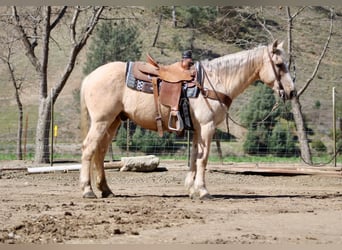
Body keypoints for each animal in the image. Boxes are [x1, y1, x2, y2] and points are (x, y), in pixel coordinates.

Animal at [79, 40, 296, 199]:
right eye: (279, 64)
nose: (292, 91)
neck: (215, 81)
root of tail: (89, 77)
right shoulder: (207, 127)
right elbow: (203, 159)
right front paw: (203, 191)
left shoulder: (198, 129)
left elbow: (194, 157)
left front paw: (192, 190)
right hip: (101, 121)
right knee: (89, 148)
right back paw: (88, 190)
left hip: (114, 121)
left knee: (100, 151)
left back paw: (105, 190)